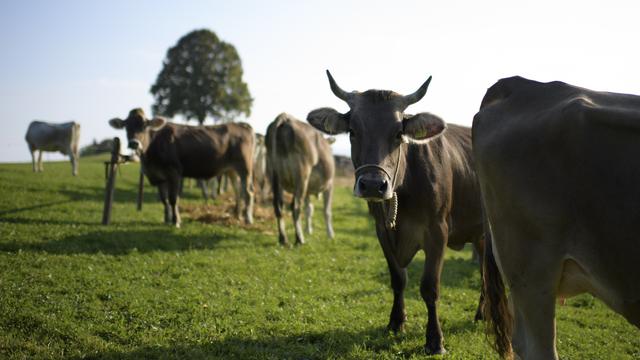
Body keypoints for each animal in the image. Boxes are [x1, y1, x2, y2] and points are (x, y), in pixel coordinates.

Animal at [109, 107, 254, 226]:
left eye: (145, 125)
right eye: (126, 126)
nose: (134, 143)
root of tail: (240, 124)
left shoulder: (174, 172)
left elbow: (173, 199)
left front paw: (176, 221)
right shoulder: (158, 176)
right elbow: (164, 199)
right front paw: (166, 219)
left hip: (245, 167)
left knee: (248, 192)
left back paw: (248, 218)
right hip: (231, 169)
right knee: (238, 191)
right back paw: (237, 215)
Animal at [264, 113, 336, 248]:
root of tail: (285, 118)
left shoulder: (307, 190)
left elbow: (309, 210)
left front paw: (309, 230)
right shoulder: (329, 185)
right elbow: (327, 211)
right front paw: (330, 234)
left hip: (274, 174)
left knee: (278, 205)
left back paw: (283, 239)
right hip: (302, 174)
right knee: (296, 206)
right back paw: (299, 239)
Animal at [306, 71, 484, 354]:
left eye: (399, 133)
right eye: (353, 131)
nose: (372, 185)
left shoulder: (438, 232)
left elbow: (429, 287)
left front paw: (435, 340)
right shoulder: (382, 231)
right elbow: (398, 279)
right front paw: (396, 322)